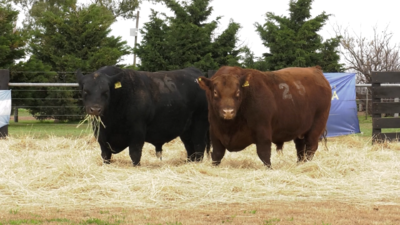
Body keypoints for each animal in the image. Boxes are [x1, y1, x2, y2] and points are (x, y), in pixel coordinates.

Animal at [76, 66, 211, 166]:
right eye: (85, 91)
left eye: (106, 92)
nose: (95, 109)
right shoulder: (101, 135)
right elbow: (105, 155)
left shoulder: (137, 130)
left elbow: (135, 153)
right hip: (186, 129)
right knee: (189, 147)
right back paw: (189, 163)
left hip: (200, 123)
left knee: (199, 145)